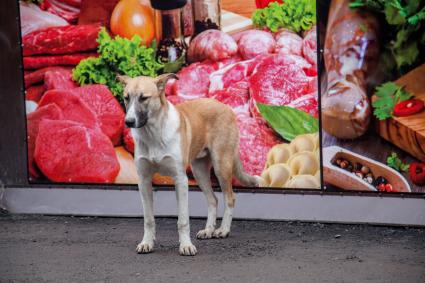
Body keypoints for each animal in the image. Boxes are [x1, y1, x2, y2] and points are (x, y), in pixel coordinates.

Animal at [118, 74, 258, 256]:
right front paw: (146, 243)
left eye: (144, 98)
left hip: (221, 165)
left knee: (230, 198)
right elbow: (148, 219)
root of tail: (225, 106)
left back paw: (223, 230)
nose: (128, 121)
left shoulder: (180, 180)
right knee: (213, 200)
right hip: (199, 171)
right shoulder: (144, 181)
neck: (154, 134)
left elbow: (183, 220)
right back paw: (208, 230)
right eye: (126, 98)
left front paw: (186, 245)